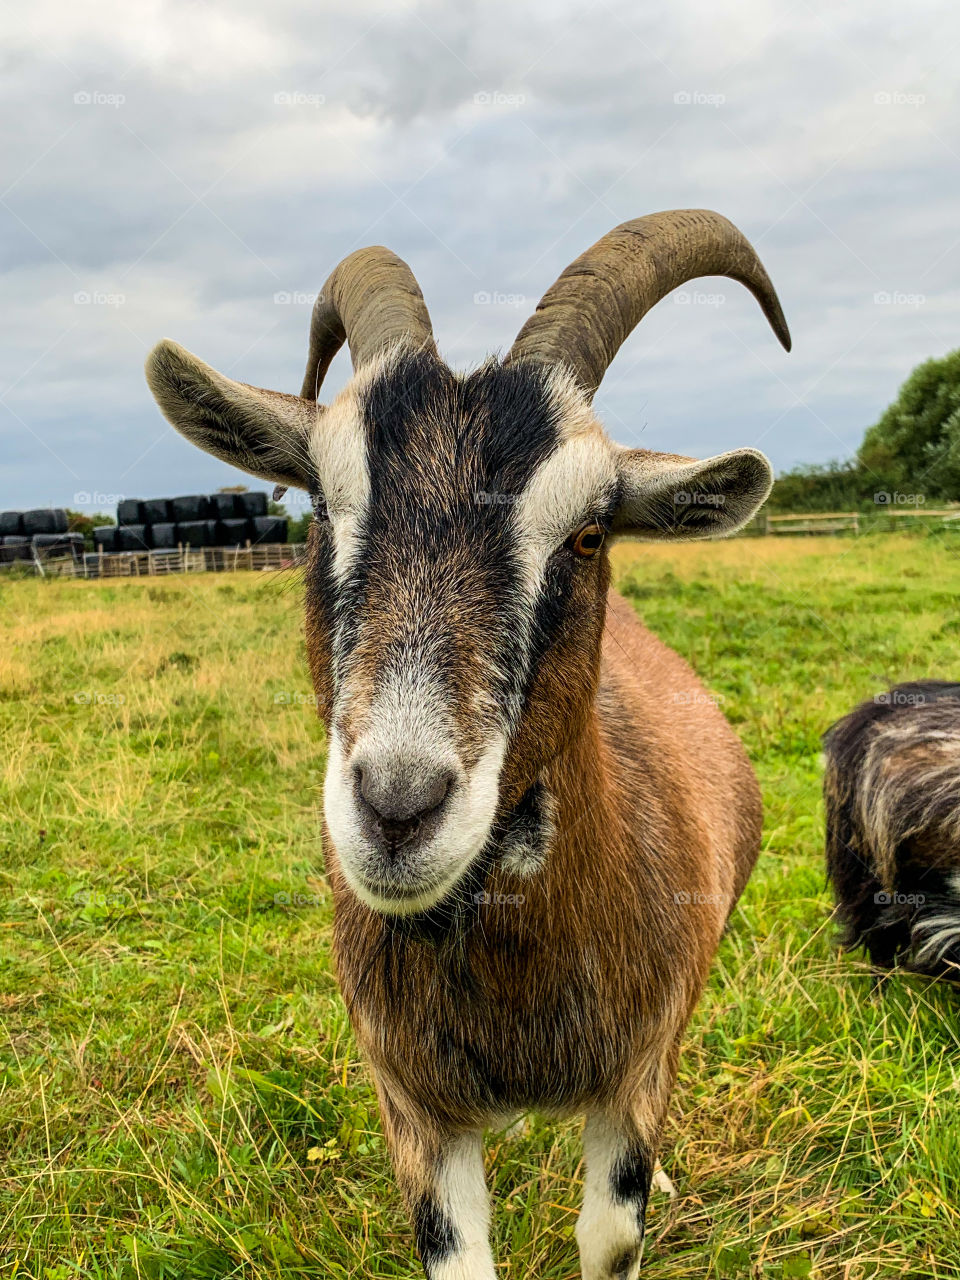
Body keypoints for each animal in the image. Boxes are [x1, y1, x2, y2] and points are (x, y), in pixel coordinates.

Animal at [144, 212, 788, 1280]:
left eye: (589, 534)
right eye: (320, 507)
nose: (398, 807)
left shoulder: (634, 1067)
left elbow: (611, 1233)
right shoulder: (415, 1103)